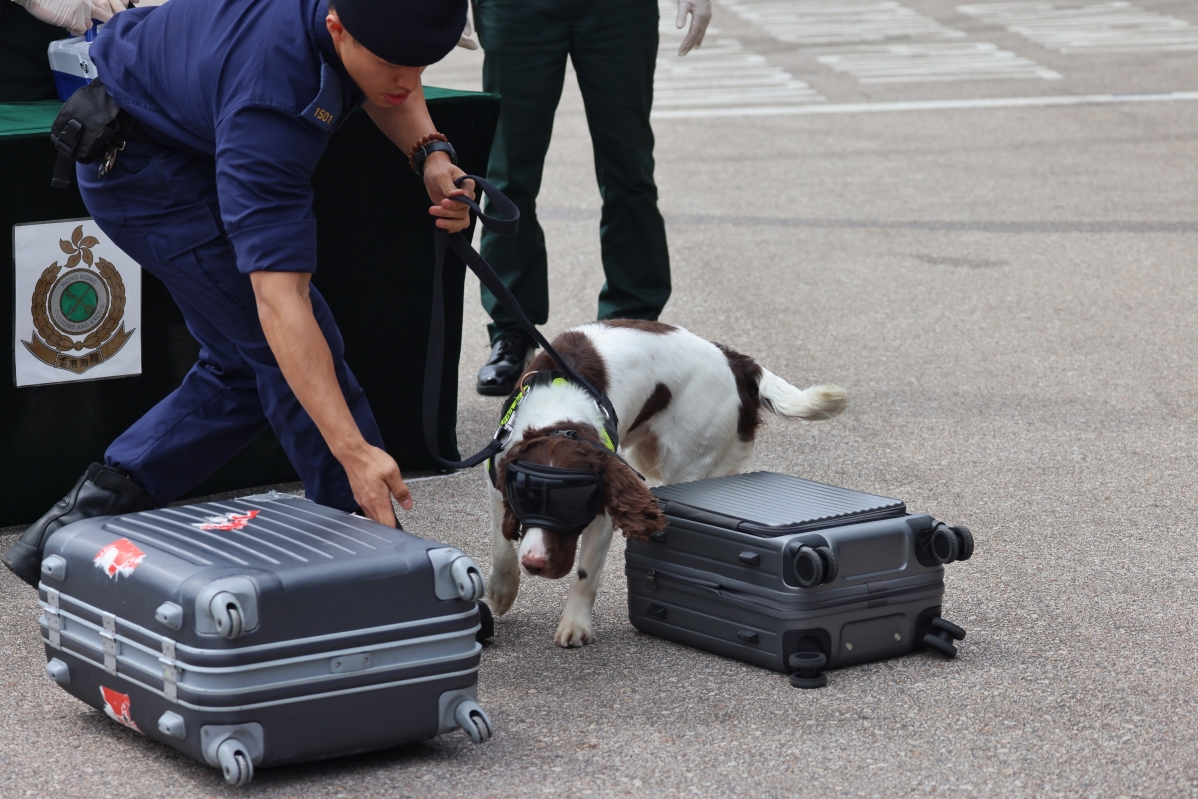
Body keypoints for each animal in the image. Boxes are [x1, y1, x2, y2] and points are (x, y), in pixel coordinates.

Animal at [486, 320, 847, 647]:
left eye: (571, 506)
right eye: (525, 500)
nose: (534, 563)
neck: (560, 415)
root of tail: (734, 360)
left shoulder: (604, 509)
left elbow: (585, 574)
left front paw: (575, 625)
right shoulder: (499, 479)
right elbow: (501, 545)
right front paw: (502, 591)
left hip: (689, 464)